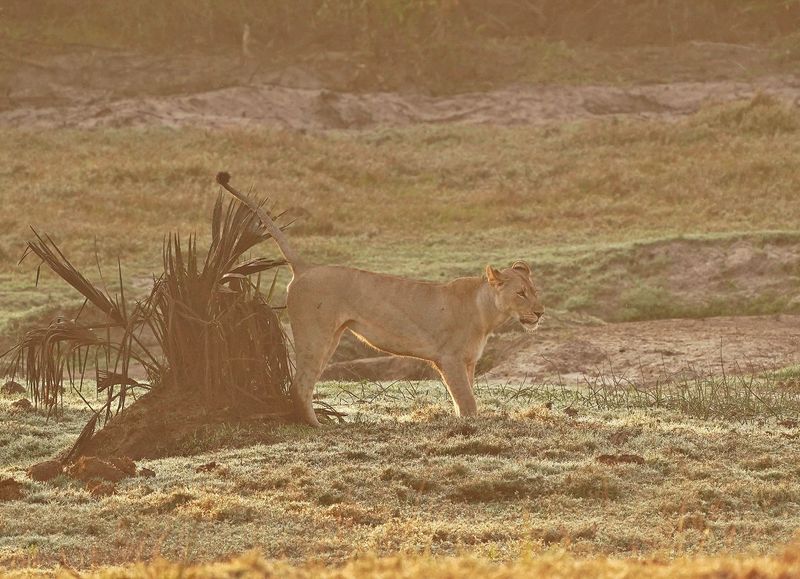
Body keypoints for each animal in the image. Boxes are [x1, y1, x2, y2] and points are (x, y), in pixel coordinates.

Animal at [216, 172, 544, 426]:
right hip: (315, 335)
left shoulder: (467, 361)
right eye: (521, 293)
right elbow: (466, 400)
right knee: (300, 384)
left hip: (330, 337)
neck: (486, 312)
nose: (540, 313)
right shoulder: (448, 358)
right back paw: (316, 425)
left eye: (535, 290)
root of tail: (305, 267)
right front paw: (471, 424)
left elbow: (466, 397)